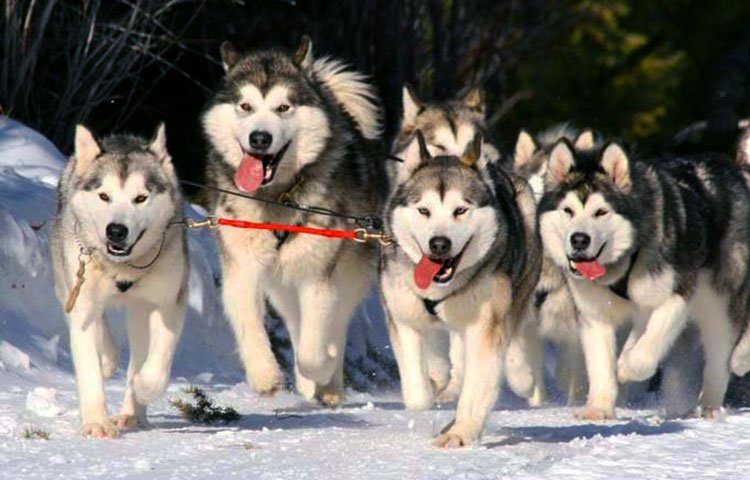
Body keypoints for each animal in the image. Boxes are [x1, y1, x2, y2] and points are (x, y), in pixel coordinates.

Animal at [382, 130, 540, 446]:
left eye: (460, 210)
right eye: (424, 210)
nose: (439, 244)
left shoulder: (485, 324)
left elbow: (478, 383)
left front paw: (462, 432)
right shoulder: (401, 315)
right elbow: (417, 395)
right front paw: (434, 383)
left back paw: (519, 374)